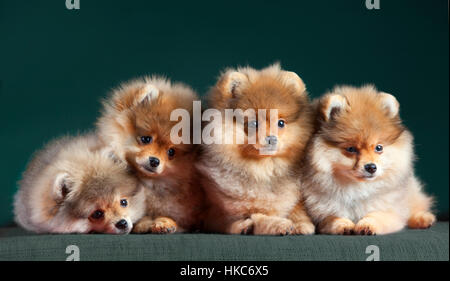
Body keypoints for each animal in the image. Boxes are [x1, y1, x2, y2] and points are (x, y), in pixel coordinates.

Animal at [98, 75, 206, 233]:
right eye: (146, 139)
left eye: (171, 152)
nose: (154, 161)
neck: (149, 184)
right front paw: (151, 223)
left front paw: (164, 222)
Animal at [197, 63, 316, 234]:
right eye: (254, 123)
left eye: (280, 123)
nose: (271, 139)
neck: (261, 171)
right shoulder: (215, 212)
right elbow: (256, 216)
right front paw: (277, 224)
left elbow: (296, 207)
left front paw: (300, 223)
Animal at [302, 85, 436, 234]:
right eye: (351, 149)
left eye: (378, 147)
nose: (371, 167)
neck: (357, 189)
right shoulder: (321, 214)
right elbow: (333, 218)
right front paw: (344, 225)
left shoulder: (391, 211)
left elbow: (377, 215)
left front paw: (367, 225)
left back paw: (423, 218)